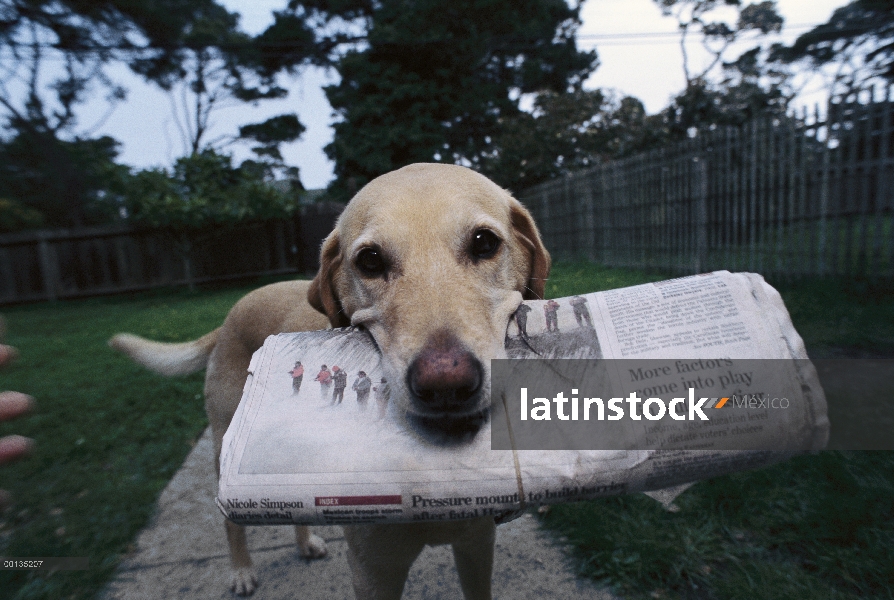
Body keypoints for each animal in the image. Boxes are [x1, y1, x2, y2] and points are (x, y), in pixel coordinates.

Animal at [108, 162, 548, 596]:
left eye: (484, 243)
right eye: (370, 260)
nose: (446, 386)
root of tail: (231, 313)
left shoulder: (477, 548)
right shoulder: (374, 570)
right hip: (222, 447)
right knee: (232, 521)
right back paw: (241, 570)